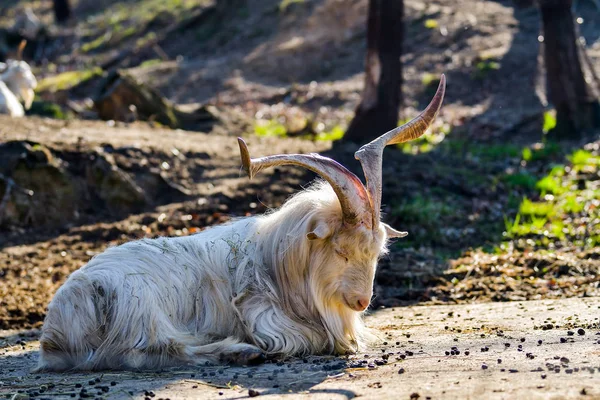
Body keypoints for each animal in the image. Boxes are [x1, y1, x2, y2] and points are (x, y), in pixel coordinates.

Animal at [34, 76, 446, 372]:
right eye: (341, 250)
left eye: (377, 253)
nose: (362, 301)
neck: (277, 260)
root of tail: (55, 331)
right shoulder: (263, 314)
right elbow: (308, 339)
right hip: (142, 309)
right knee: (152, 351)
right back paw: (240, 352)